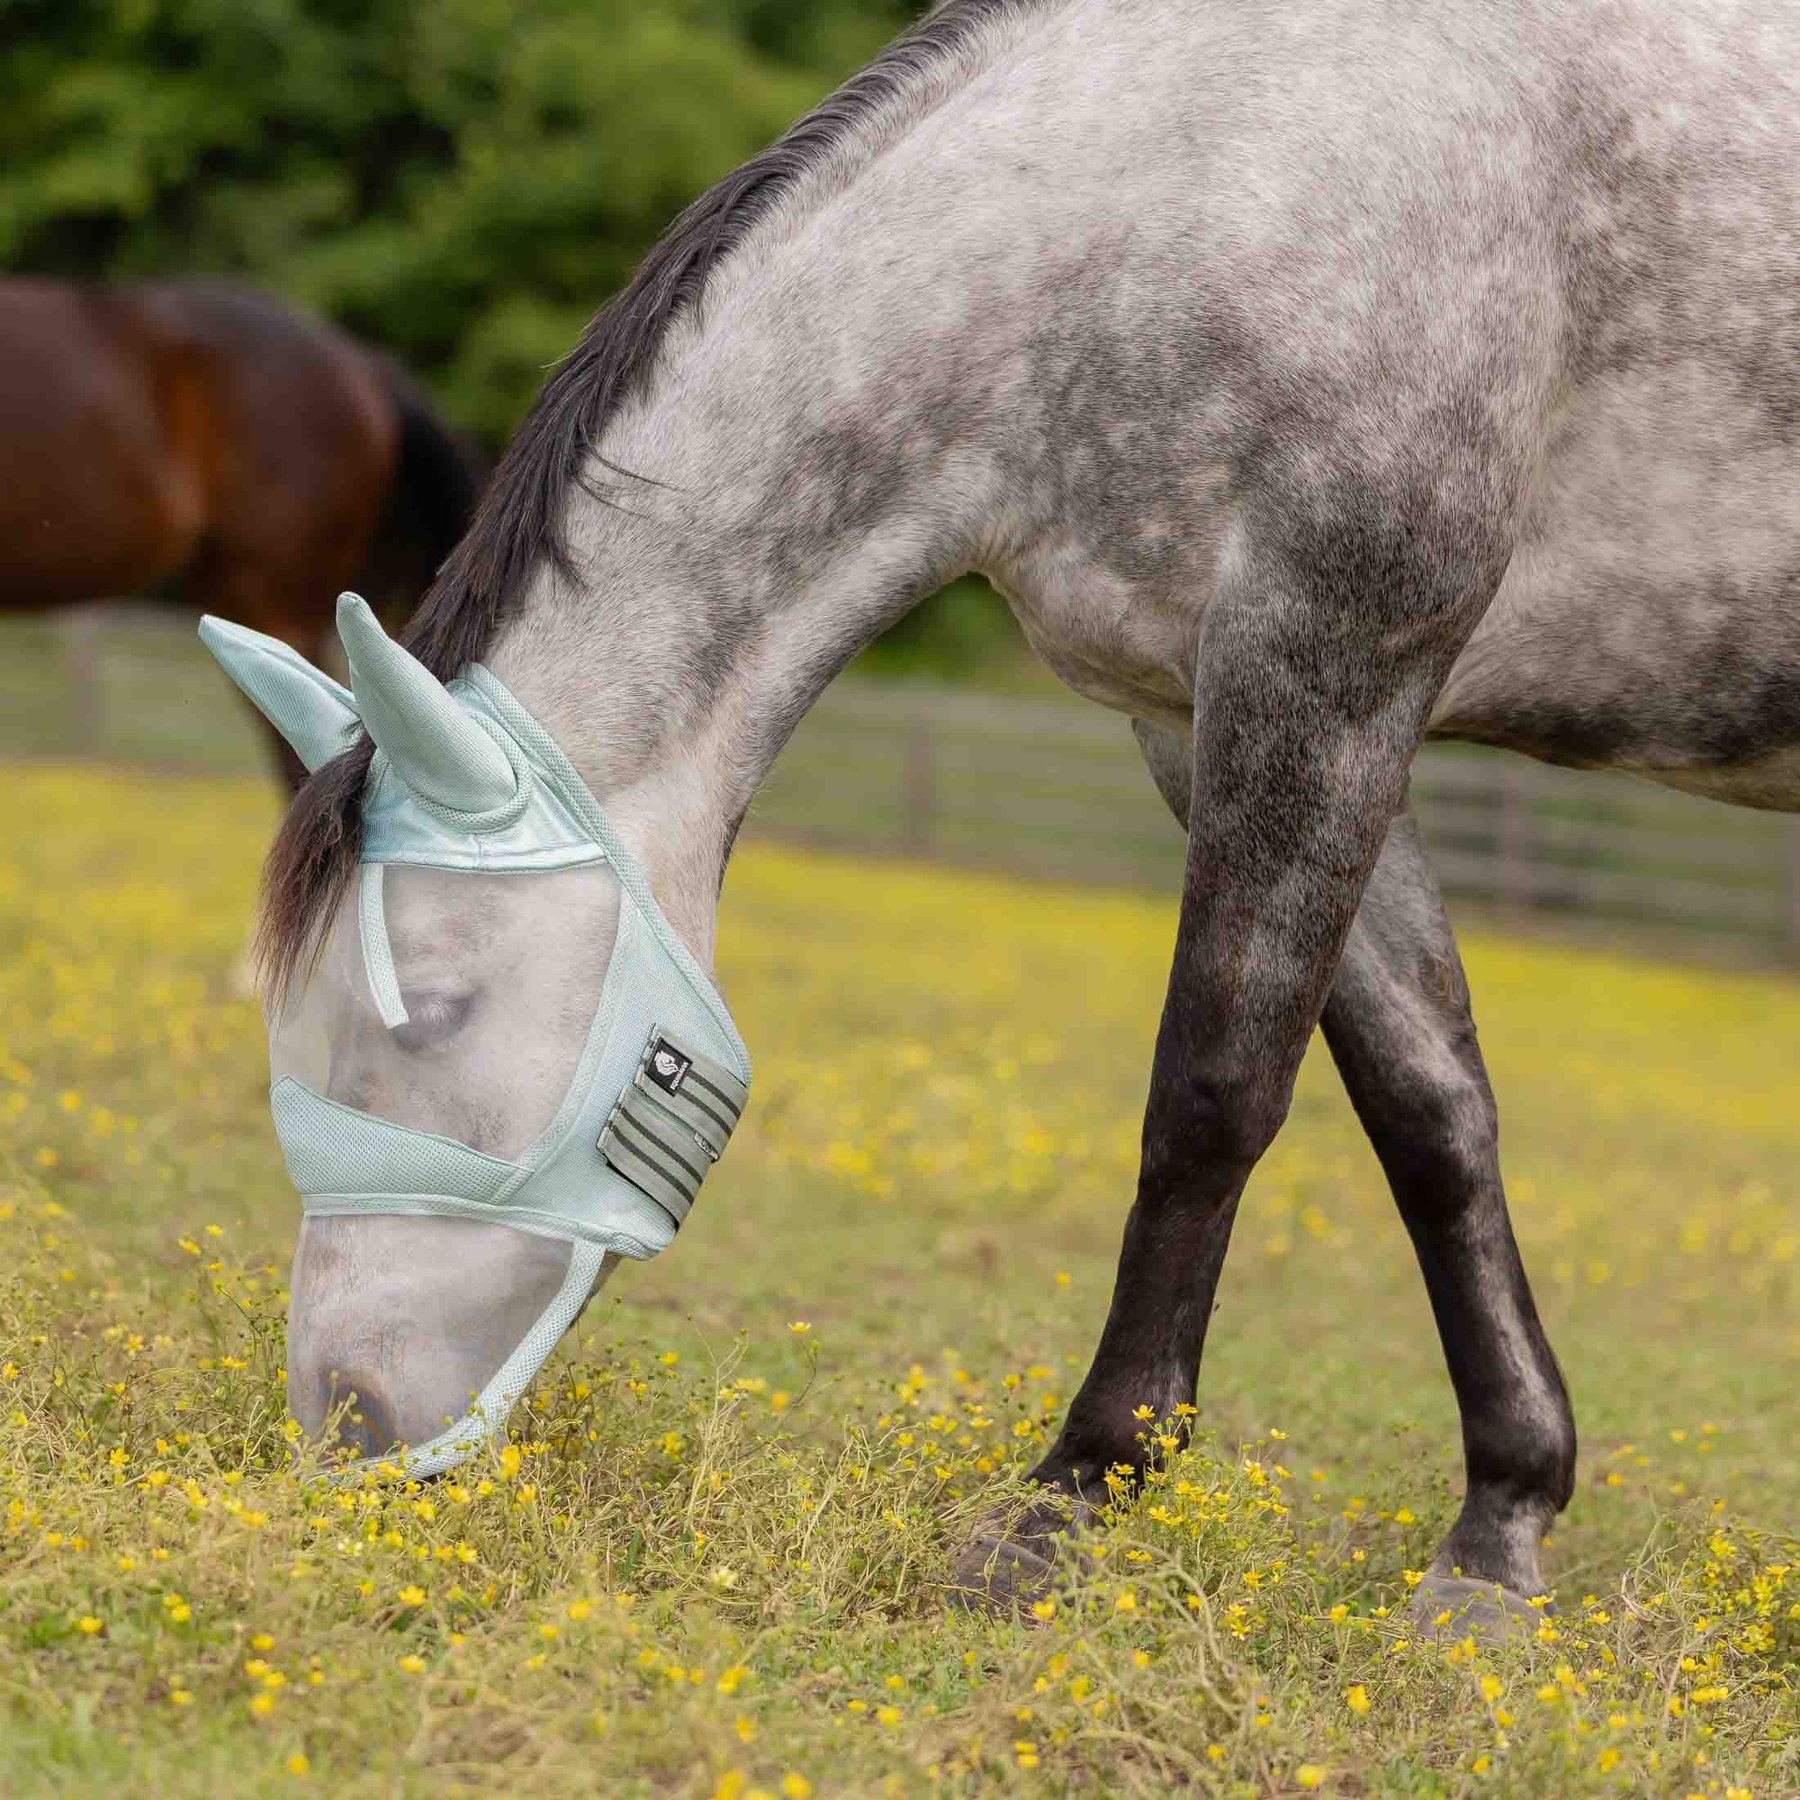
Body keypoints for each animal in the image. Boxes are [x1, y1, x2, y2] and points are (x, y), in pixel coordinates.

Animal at [244, 0, 1799, 1627]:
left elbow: (1213, 1096)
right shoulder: (1214, 717)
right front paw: (1499, 1533)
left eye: (437, 1010)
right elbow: (1433, 1113)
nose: (347, 1423)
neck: (1207, 174)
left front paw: (1074, 1498)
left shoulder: (1326, 673)